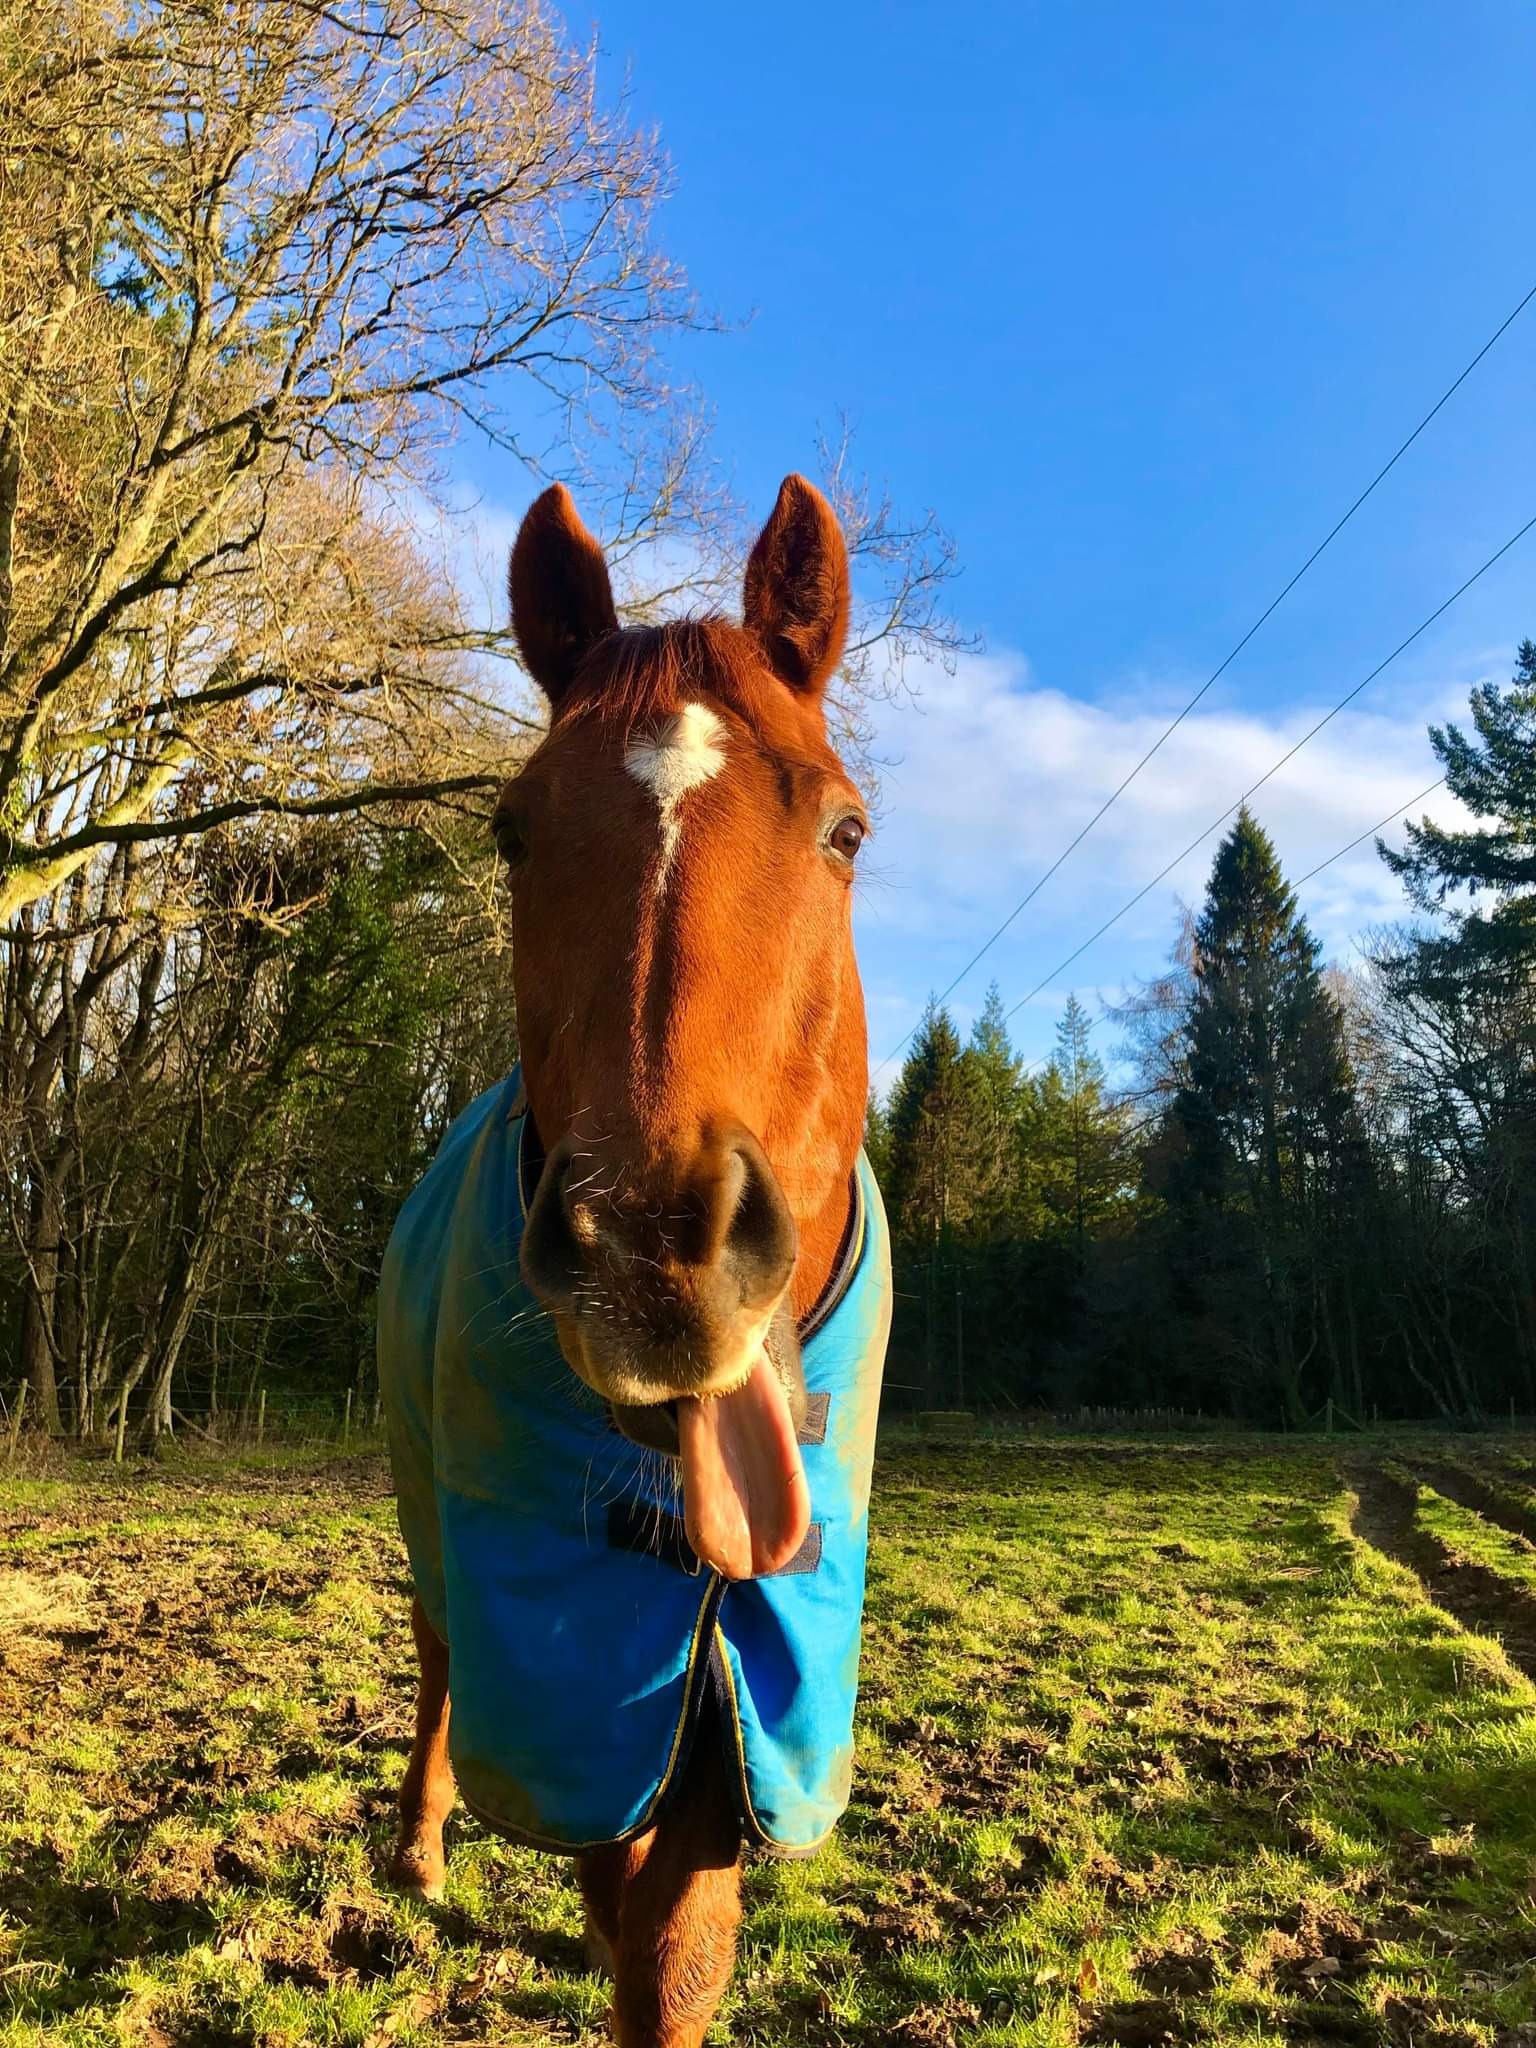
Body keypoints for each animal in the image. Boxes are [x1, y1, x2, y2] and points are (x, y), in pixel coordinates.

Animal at [379, 474, 890, 2047]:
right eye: (510, 833)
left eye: (845, 830)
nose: (655, 1251)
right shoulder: (570, 1666)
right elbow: (623, 1903)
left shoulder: (747, 1682)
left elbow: (674, 1952)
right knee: (436, 1663)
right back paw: (419, 1846)